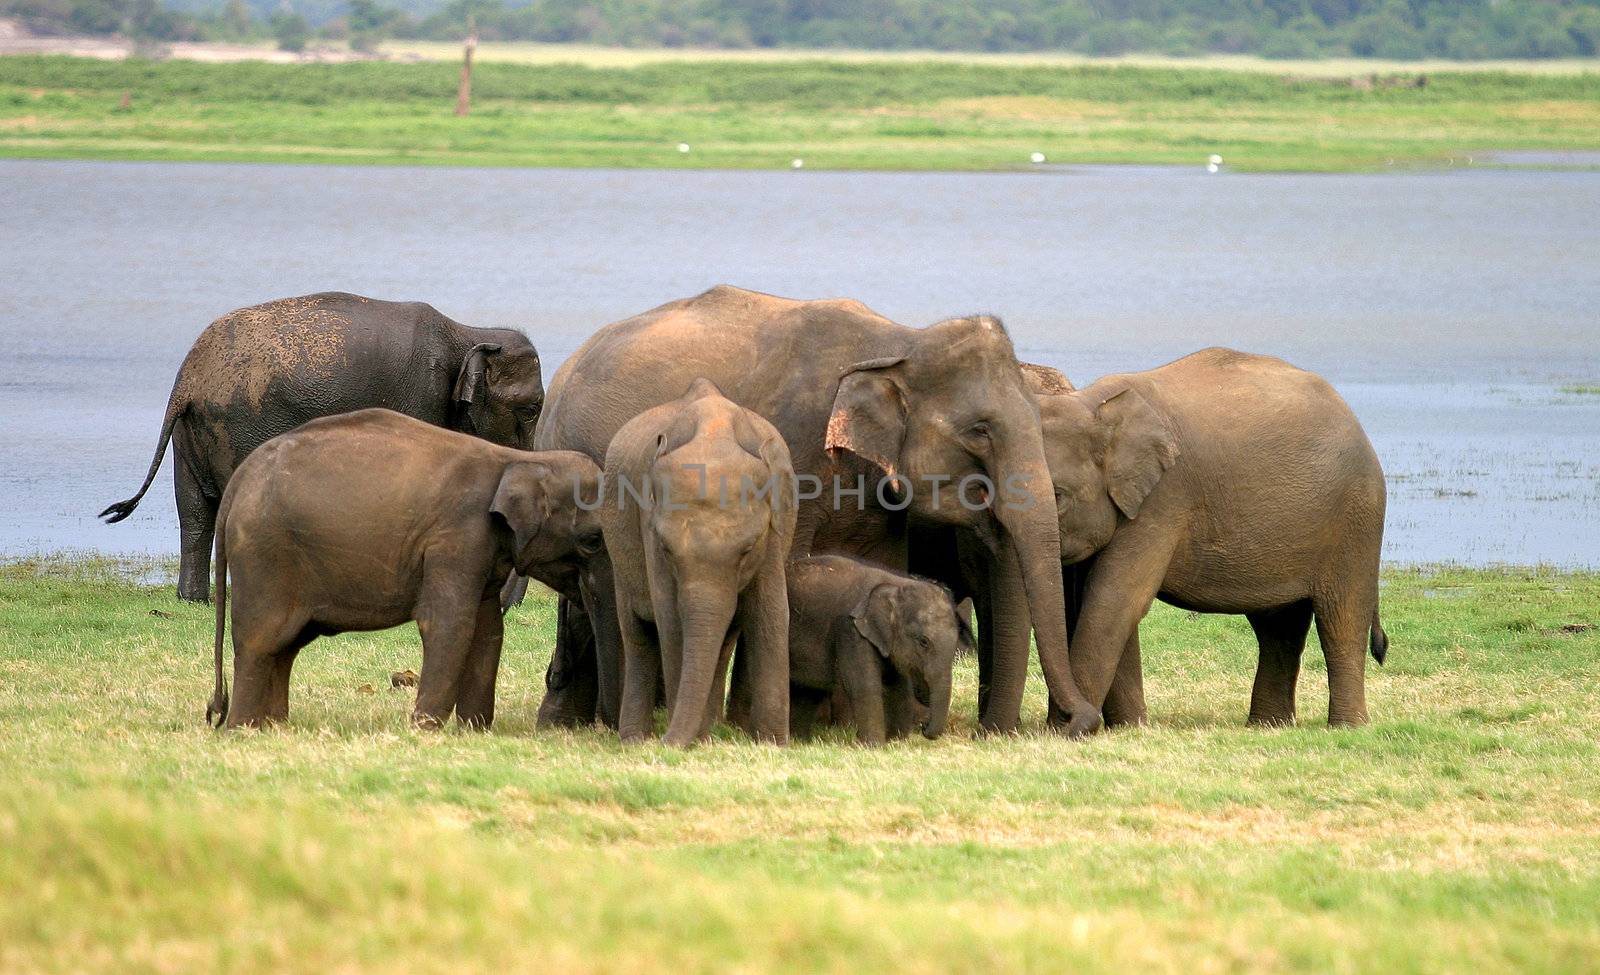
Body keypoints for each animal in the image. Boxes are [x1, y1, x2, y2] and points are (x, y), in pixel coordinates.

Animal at [104, 291, 550, 601]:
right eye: (531, 410)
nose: (506, 604)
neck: (470, 332)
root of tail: (187, 379)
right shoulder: (421, 397)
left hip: (190, 433)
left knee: (194, 511)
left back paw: (193, 601)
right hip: (239, 424)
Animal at [201, 405, 601, 730]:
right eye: (593, 541)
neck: (518, 458)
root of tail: (240, 479)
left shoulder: (482, 549)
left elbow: (489, 631)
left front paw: (474, 731)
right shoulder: (457, 538)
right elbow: (448, 624)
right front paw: (425, 729)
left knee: (286, 645)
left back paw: (274, 727)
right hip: (264, 555)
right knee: (261, 641)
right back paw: (243, 730)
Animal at [601, 376, 796, 742]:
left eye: (748, 550)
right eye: (666, 549)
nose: (665, 742)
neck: (713, 436)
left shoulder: (775, 531)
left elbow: (771, 613)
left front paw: (774, 744)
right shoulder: (649, 525)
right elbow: (669, 618)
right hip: (617, 549)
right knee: (636, 634)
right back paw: (635, 738)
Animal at [784, 553, 966, 746]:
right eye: (923, 642)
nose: (924, 727)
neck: (896, 585)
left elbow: (898, 686)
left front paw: (897, 742)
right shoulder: (851, 630)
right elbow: (863, 684)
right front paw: (873, 746)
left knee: (807, 691)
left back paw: (800, 741)